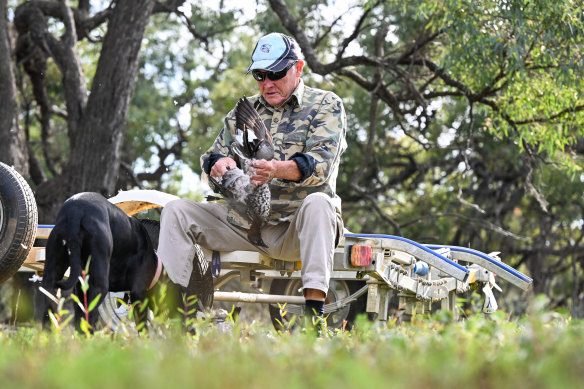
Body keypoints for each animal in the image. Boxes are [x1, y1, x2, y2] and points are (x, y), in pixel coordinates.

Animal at [40, 191, 161, 330]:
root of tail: (75, 210)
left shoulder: (81, 287)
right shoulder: (138, 292)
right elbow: (142, 325)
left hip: (52, 274)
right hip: (100, 284)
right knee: (89, 314)